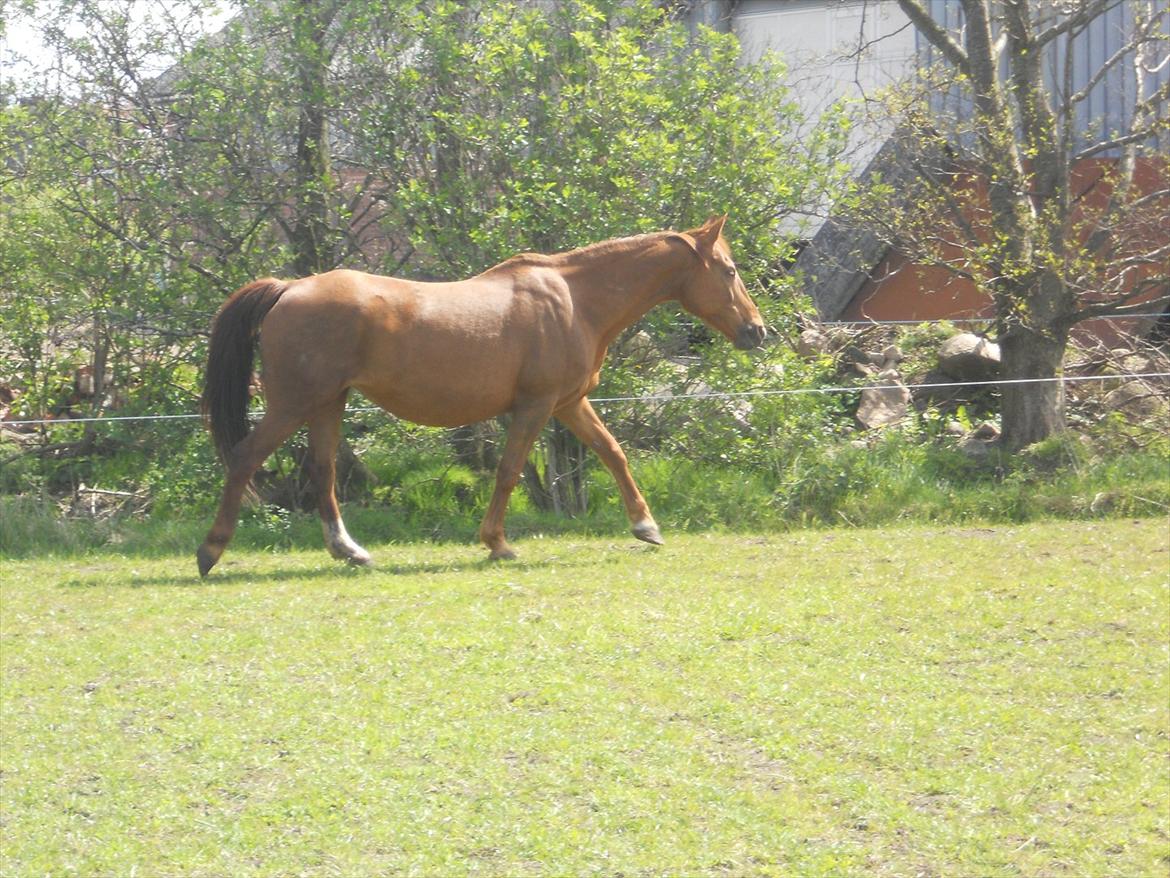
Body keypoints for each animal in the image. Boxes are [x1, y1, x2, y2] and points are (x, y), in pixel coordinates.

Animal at [198, 216, 767, 578]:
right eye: (730, 271)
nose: (758, 331)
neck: (574, 298)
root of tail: (289, 288)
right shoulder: (536, 406)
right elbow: (510, 471)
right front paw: (497, 543)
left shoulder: (569, 404)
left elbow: (613, 454)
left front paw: (645, 526)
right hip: (294, 403)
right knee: (246, 458)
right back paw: (211, 551)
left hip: (327, 404)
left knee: (323, 471)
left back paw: (350, 551)